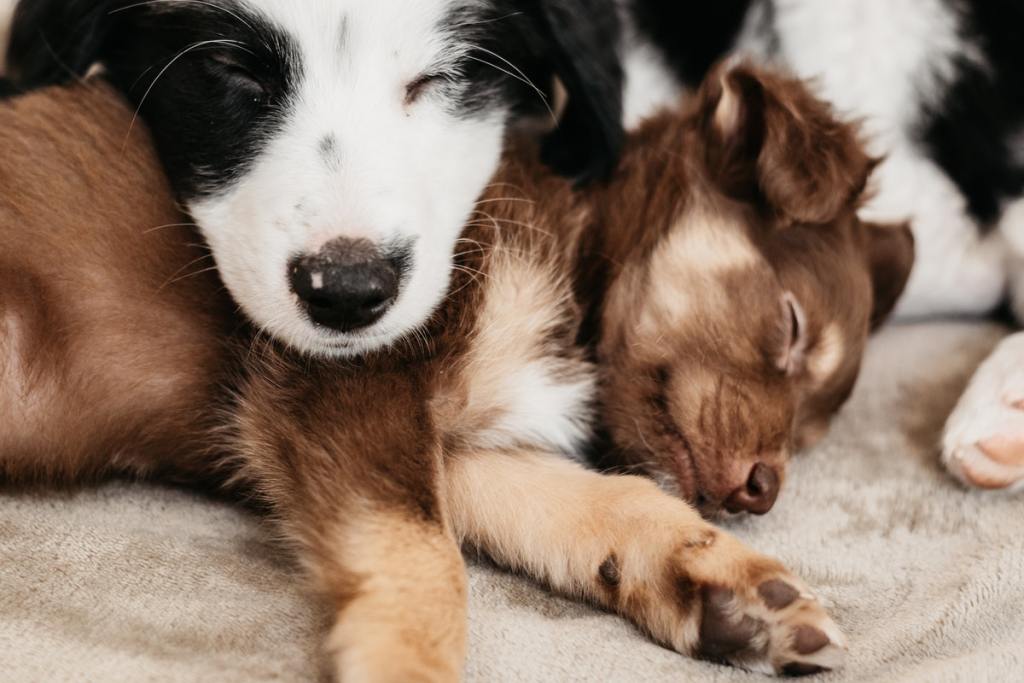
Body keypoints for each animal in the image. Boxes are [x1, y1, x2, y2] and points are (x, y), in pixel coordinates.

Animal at [0, 62, 905, 679]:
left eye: (813, 430)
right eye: (789, 326)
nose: (764, 490)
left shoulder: (452, 443)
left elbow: (599, 498)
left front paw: (720, 584)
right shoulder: (347, 376)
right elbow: (425, 560)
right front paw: (405, 663)